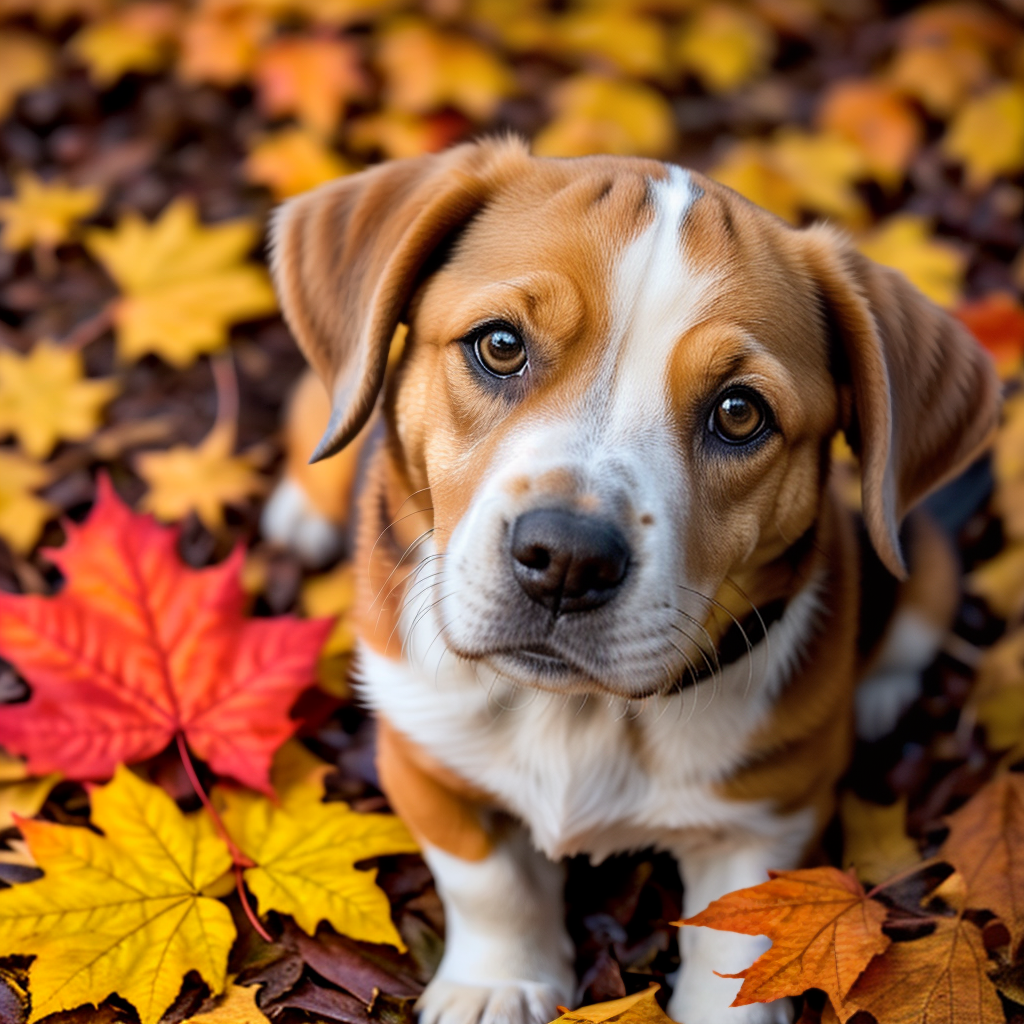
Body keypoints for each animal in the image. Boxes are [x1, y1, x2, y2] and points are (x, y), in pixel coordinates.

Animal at [262, 140, 999, 1024]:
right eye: (499, 345)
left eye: (740, 413)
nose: (568, 558)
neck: (577, 715)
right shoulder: (419, 754)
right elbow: (487, 879)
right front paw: (496, 982)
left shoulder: (771, 814)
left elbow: (740, 940)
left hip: (919, 557)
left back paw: (882, 691)